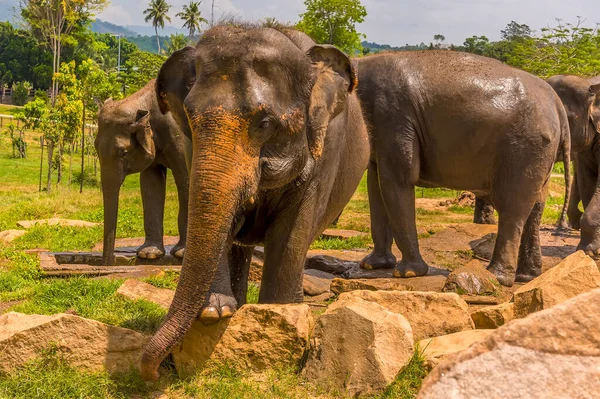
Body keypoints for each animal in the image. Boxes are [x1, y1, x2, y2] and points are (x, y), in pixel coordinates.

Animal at [95, 79, 190, 266]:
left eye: (124, 152)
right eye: (95, 148)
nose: (109, 262)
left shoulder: (180, 136)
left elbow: (186, 178)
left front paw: (182, 254)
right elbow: (150, 183)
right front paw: (149, 255)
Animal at [142, 25, 370, 382]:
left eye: (264, 124)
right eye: (190, 118)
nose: (153, 373)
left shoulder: (326, 152)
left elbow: (291, 233)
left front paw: (280, 311)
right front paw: (214, 312)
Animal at [356, 50, 572, 288]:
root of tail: (557, 105)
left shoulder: (392, 115)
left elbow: (398, 178)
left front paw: (407, 273)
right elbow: (375, 183)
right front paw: (372, 265)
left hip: (526, 147)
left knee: (513, 207)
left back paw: (496, 277)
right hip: (540, 153)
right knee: (536, 208)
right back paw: (526, 277)